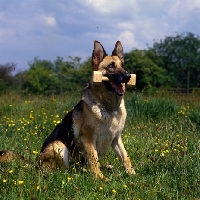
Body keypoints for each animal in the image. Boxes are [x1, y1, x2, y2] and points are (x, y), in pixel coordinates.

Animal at [0, 40, 135, 180]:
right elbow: (93, 159)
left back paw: (106, 167)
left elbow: (125, 157)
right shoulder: (88, 139)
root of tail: (36, 164)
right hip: (59, 145)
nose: (128, 76)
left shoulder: (116, 139)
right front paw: (100, 178)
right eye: (111, 66)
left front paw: (132, 173)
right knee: (65, 170)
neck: (109, 108)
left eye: (123, 65)